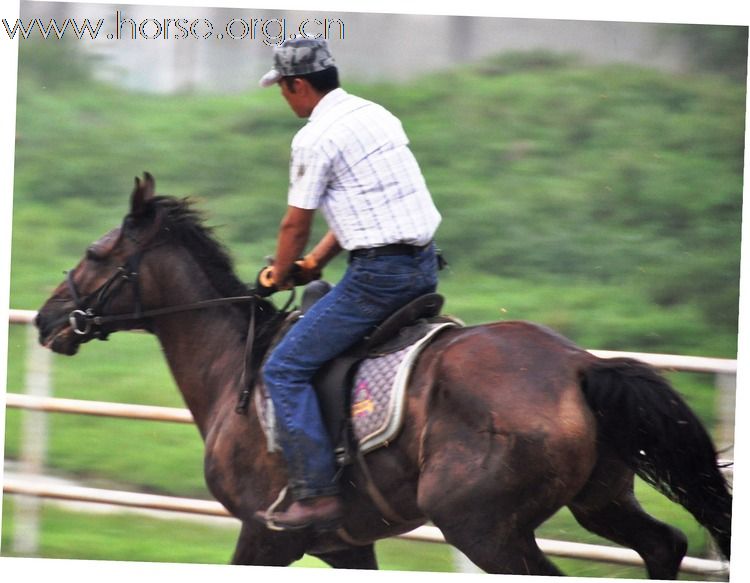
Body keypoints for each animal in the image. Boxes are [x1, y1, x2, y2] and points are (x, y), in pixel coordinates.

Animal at [36, 175, 736, 580]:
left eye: (96, 254)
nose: (46, 318)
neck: (236, 367)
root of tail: (581, 366)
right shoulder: (347, 544)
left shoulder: (265, 534)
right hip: (599, 500)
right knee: (664, 545)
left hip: (484, 528)